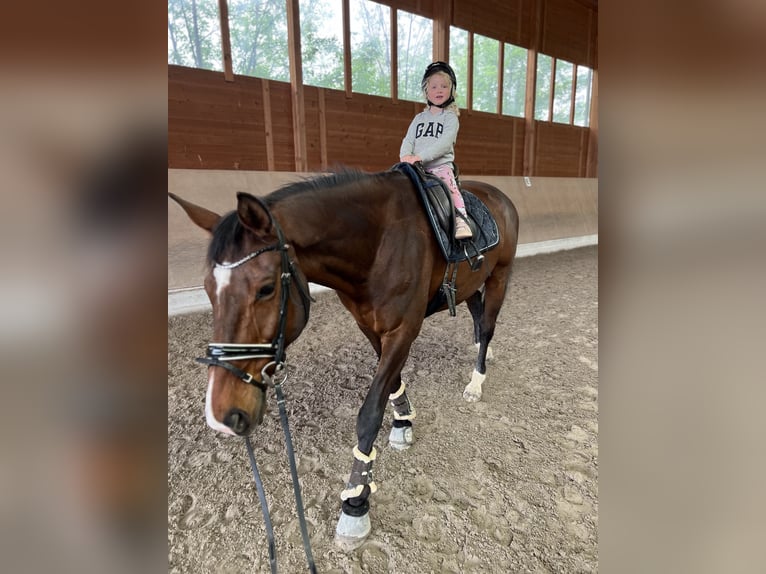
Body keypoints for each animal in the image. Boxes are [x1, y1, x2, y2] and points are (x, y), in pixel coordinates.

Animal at [170, 169, 520, 552]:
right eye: (207, 289)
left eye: (265, 288)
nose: (221, 415)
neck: (377, 243)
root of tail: (498, 193)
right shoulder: (370, 327)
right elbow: (392, 383)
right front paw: (403, 422)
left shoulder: (403, 329)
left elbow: (369, 413)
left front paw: (355, 503)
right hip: (472, 282)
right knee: (477, 316)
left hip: (500, 276)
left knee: (487, 325)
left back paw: (477, 380)